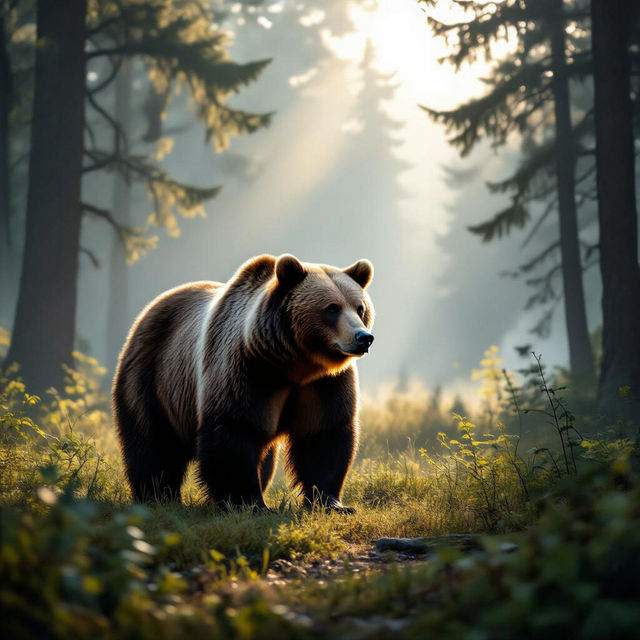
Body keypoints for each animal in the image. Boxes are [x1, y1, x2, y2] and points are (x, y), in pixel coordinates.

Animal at [112, 253, 374, 512]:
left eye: (360, 308)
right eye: (332, 308)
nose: (364, 337)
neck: (296, 363)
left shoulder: (323, 384)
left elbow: (324, 434)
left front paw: (332, 503)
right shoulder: (248, 369)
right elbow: (236, 430)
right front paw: (249, 503)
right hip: (152, 378)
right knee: (153, 443)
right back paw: (157, 495)